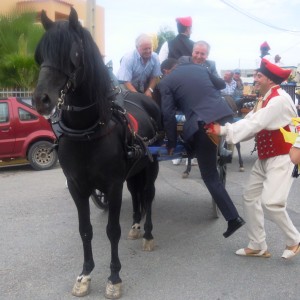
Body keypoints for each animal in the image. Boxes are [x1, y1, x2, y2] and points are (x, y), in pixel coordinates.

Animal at [33, 8, 162, 298]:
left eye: (72, 54)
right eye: (40, 55)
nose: (40, 100)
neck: (87, 131)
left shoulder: (112, 186)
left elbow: (112, 230)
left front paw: (114, 277)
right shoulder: (77, 186)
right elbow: (85, 230)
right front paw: (85, 274)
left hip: (152, 165)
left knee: (148, 196)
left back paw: (148, 235)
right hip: (133, 171)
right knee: (136, 194)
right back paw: (136, 226)